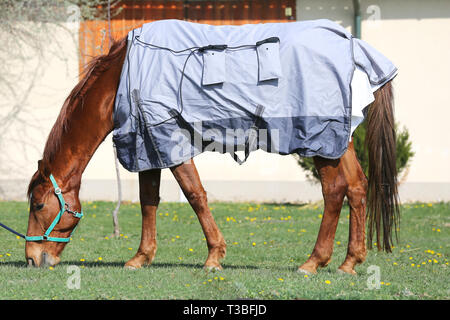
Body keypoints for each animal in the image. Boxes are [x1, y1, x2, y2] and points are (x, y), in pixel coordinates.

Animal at [25, 31, 398, 276]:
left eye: (39, 205)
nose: (31, 257)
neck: (125, 75)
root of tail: (353, 47)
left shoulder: (167, 140)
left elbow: (195, 196)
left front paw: (214, 257)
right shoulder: (148, 143)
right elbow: (149, 201)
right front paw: (141, 257)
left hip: (321, 141)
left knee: (334, 191)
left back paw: (313, 261)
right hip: (340, 141)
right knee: (357, 187)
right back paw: (349, 262)